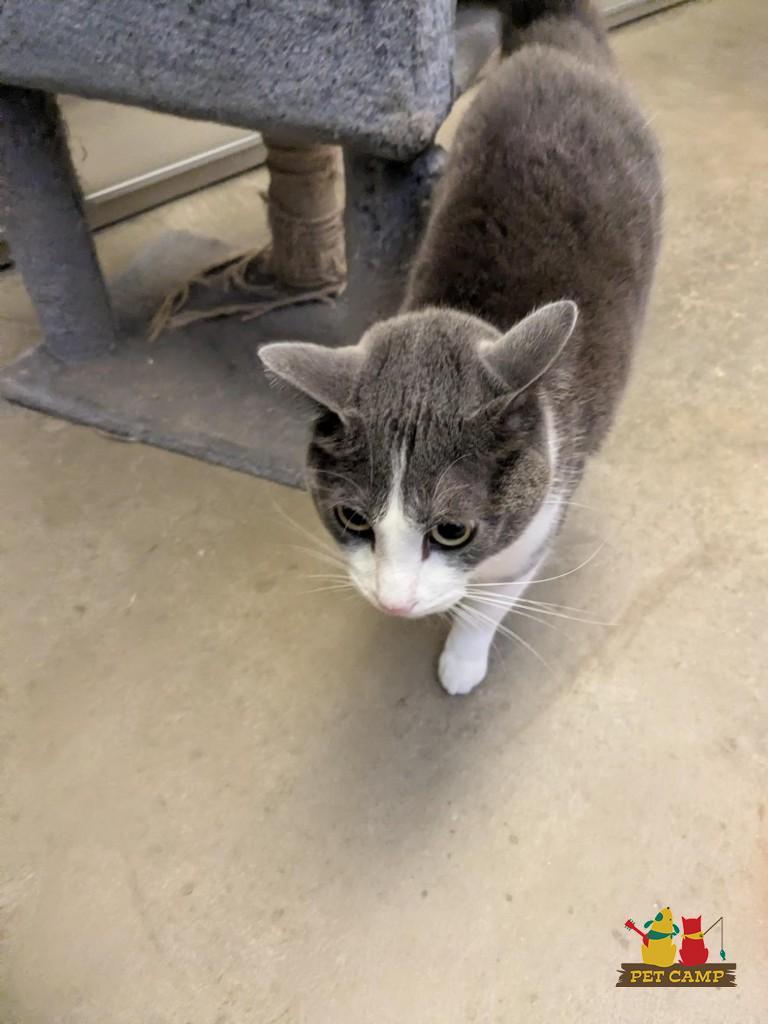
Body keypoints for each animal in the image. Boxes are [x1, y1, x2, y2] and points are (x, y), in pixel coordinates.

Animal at [259, 0, 662, 695]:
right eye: (353, 519)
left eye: (451, 530)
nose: (394, 603)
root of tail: (556, 41)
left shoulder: (540, 514)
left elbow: (491, 601)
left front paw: (462, 659)